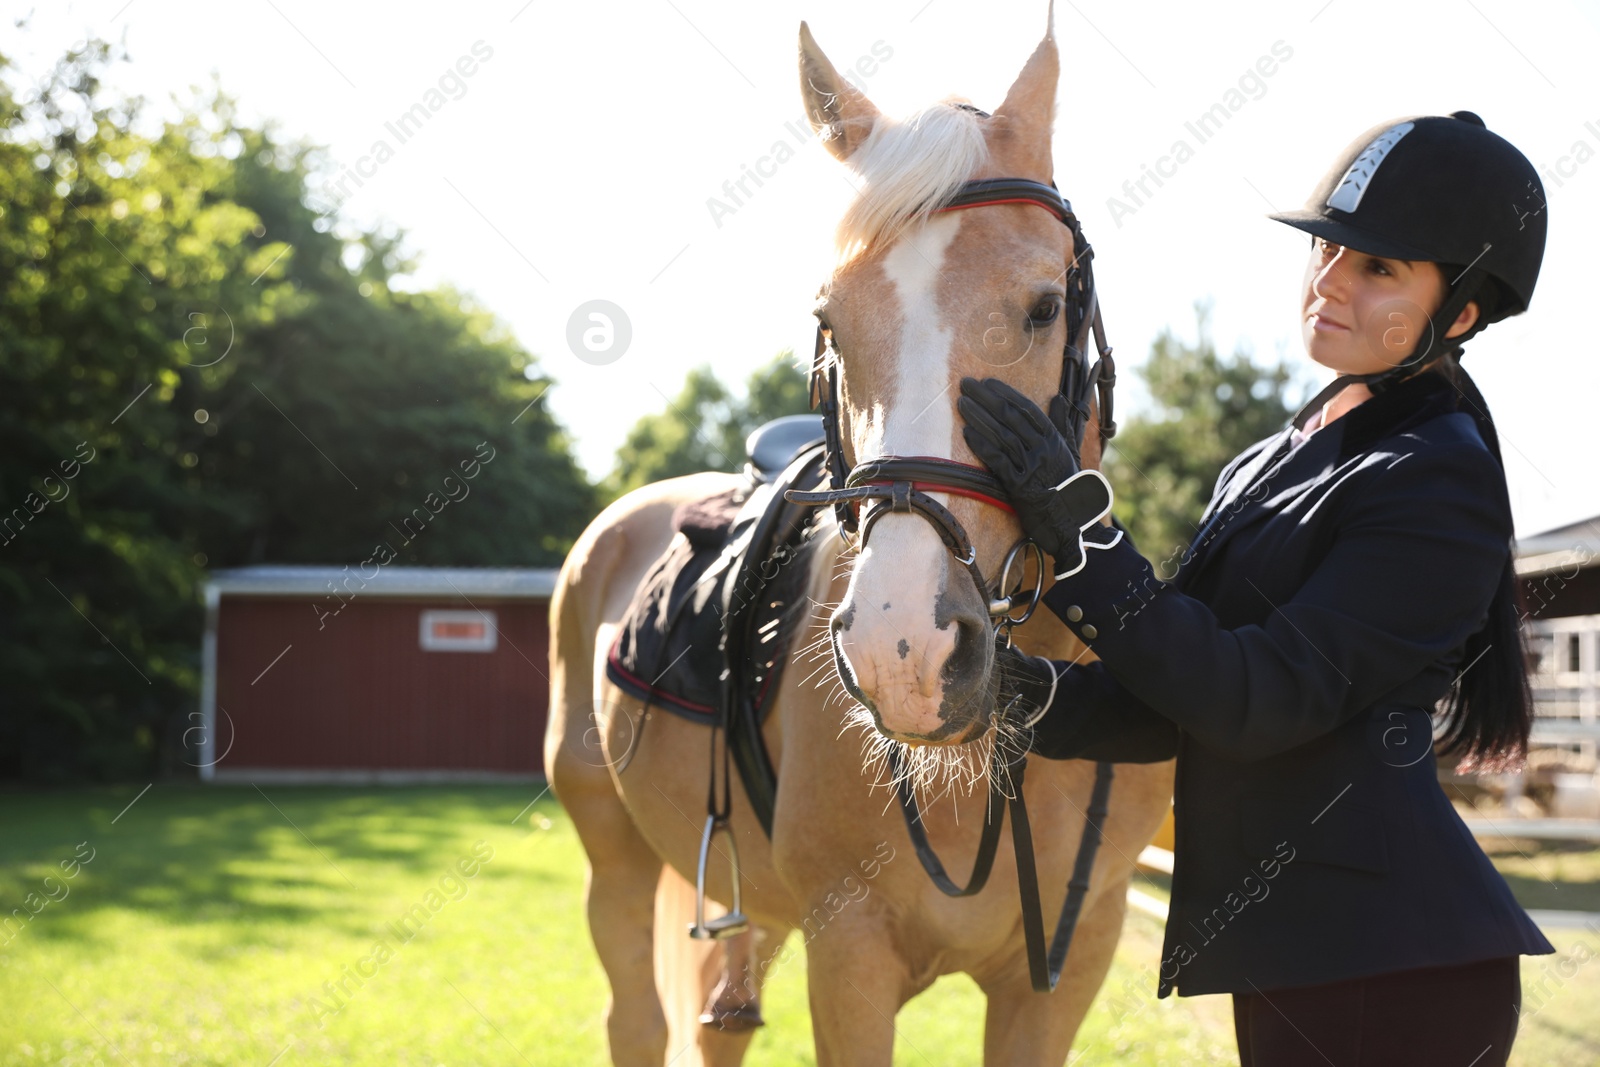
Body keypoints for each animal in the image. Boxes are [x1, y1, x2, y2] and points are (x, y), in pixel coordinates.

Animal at [547, 16, 1177, 1067]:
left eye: (1045, 306)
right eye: (829, 322)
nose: (904, 647)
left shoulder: (1063, 969)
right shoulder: (849, 952)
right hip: (614, 853)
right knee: (635, 1017)